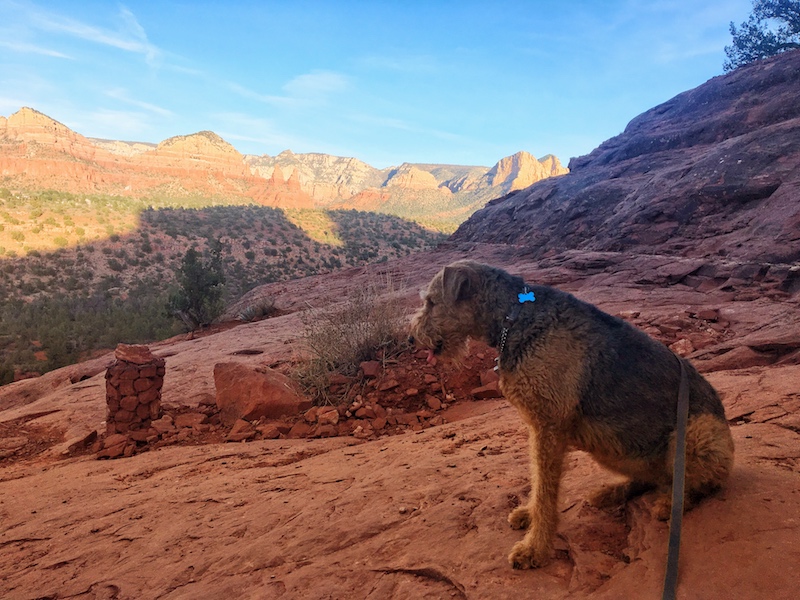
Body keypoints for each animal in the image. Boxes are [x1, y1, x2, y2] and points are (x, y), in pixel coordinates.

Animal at [410, 260, 736, 568]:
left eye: (431, 302)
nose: (412, 339)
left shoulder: (549, 426)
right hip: (614, 447)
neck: (512, 318)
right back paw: (611, 492)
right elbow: (538, 480)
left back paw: (670, 504)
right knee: (651, 478)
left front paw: (534, 549)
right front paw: (529, 517)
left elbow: (546, 489)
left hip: (697, 434)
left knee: (698, 484)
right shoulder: (539, 428)